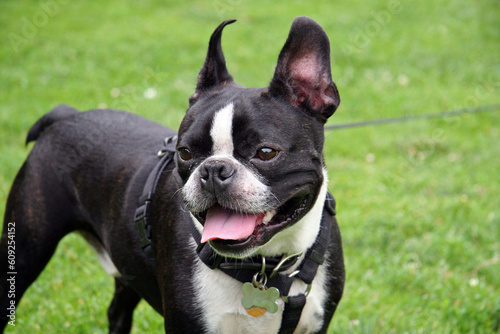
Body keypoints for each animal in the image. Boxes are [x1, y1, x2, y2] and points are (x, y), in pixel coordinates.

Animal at [0, 16, 344, 334]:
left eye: (266, 152)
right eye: (185, 153)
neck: (265, 265)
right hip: (25, 248)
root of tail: (64, 116)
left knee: (117, 311)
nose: (214, 169)